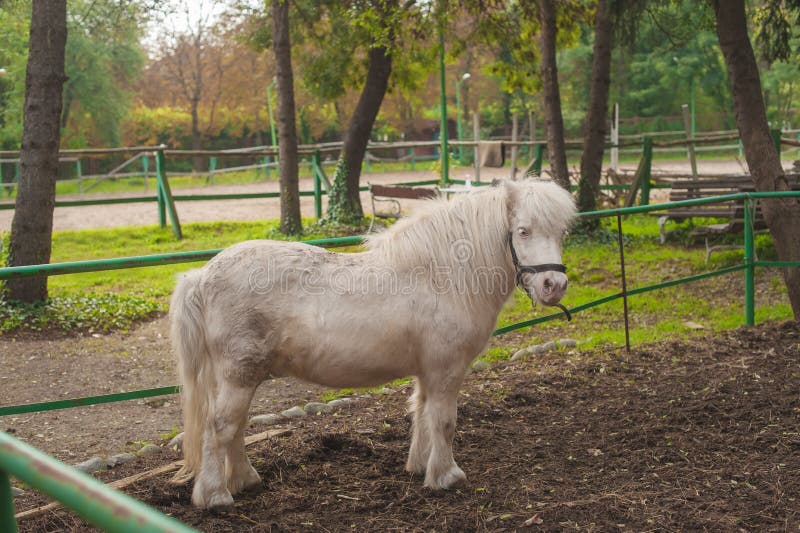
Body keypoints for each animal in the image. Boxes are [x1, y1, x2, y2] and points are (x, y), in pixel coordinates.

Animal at [169, 178, 576, 509]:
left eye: (560, 231)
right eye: (523, 231)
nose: (553, 286)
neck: (441, 277)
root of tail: (202, 275)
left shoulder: (427, 371)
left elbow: (421, 412)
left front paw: (421, 466)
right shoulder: (445, 370)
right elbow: (444, 421)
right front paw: (446, 476)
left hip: (237, 378)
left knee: (234, 427)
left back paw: (244, 480)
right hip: (240, 375)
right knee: (220, 427)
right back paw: (215, 496)